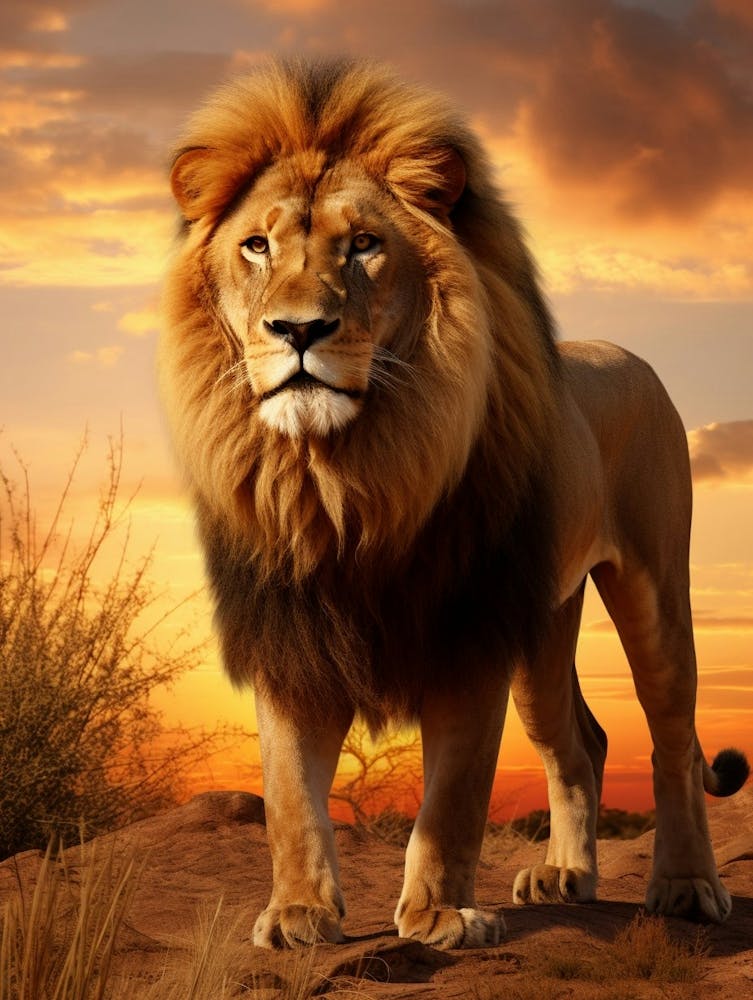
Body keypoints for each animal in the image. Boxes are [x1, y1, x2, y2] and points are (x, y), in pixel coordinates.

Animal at [159, 58, 749, 949]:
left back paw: (685, 887)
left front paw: (438, 914)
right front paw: (296, 914)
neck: (345, 476)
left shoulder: (469, 627)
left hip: (652, 589)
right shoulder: (292, 631)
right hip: (544, 623)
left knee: (671, 738)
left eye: (364, 246)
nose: (297, 330)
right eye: (256, 245)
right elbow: (291, 795)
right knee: (577, 742)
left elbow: (454, 797)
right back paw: (565, 874)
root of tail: (620, 351)